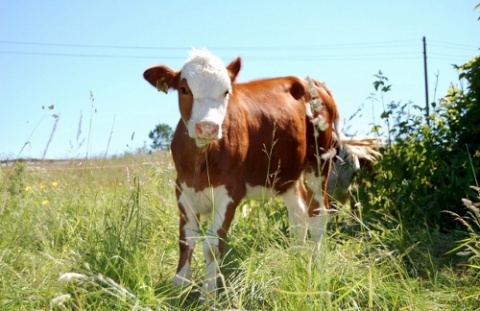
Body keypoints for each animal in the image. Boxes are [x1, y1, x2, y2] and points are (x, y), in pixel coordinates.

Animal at [142, 49, 342, 292]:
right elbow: (185, 240)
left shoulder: (230, 192)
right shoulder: (182, 188)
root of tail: (312, 81)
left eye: (226, 91)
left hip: (320, 161)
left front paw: (208, 293)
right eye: (184, 89)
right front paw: (179, 288)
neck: (201, 159)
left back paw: (318, 264)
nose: (207, 127)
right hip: (285, 173)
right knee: (298, 214)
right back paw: (297, 258)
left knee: (318, 214)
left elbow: (211, 244)